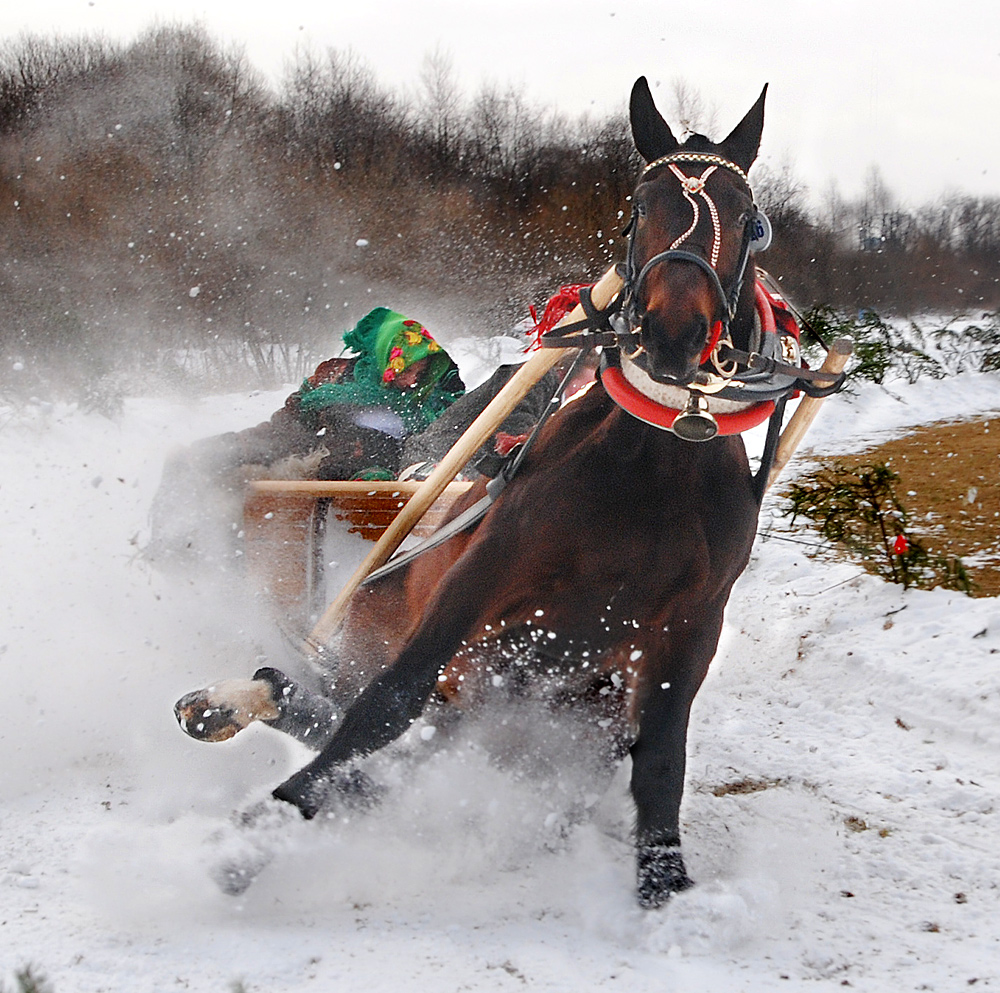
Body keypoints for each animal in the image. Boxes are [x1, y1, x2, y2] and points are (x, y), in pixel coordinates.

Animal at [178, 79, 772, 908]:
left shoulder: (691, 623)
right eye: (636, 206)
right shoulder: (481, 575)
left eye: (749, 220)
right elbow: (386, 704)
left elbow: (659, 758)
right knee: (350, 707)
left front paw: (666, 882)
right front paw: (258, 835)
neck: (651, 478)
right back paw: (239, 698)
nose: (674, 334)